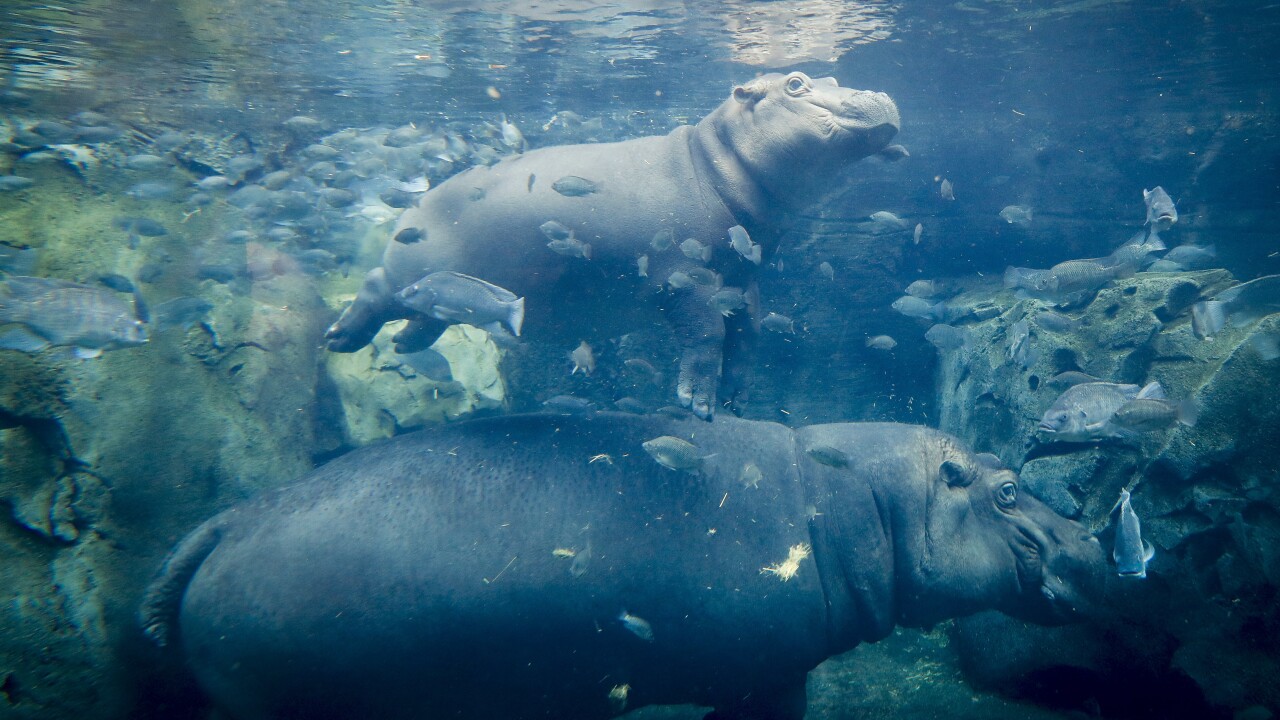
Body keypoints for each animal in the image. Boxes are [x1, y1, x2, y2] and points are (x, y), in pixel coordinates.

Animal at [324, 72, 901, 419]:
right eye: (796, 83)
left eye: (832, 78)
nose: (879, 93)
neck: (714, 158)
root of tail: (412, 207)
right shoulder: (685, 279)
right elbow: (709, 335)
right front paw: (698, 404)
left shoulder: (741, 280)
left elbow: (748, 335)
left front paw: (736, 399)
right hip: (401, 271)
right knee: (375, 287)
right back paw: (339, 338)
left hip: (442, 290)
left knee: (426, 312)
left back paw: (405, 344)